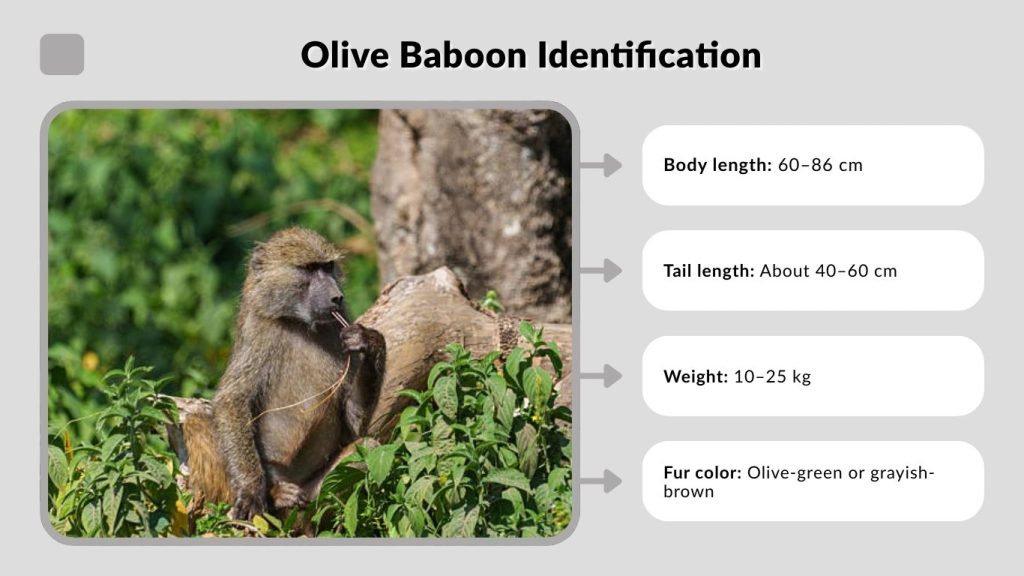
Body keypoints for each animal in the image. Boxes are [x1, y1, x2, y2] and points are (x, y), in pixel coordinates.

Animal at [184, 227, 386, 521]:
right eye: (309, 269)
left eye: (328, 267)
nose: (337, 297)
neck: (300, 324)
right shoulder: (260, 333)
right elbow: (232, 401)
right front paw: (251, 491)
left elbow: (354, 424)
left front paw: (370, 342)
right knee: (197, 421)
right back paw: (275, 494)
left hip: (312, 492)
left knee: (368, 447)